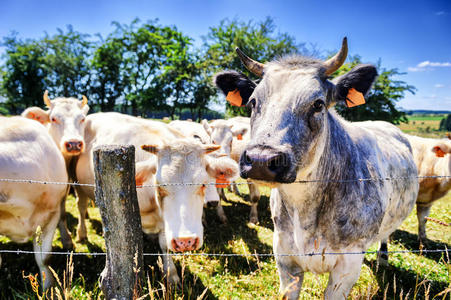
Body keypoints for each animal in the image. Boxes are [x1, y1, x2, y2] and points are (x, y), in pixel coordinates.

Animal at [73, 113, 240, 284]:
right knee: (81, 206)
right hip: (78, 185)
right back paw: (81, 233)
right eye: (160, 186)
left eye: (203, 184)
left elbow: (165, 244)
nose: (185, 241)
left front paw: (171, 274)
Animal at [215, 38, 420, 300]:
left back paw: (382, 258)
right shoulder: (284, 258)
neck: (304, 210)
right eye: (253, 102)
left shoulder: (347, 267)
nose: (261, 159)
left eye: (318, 104)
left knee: (385, 236)